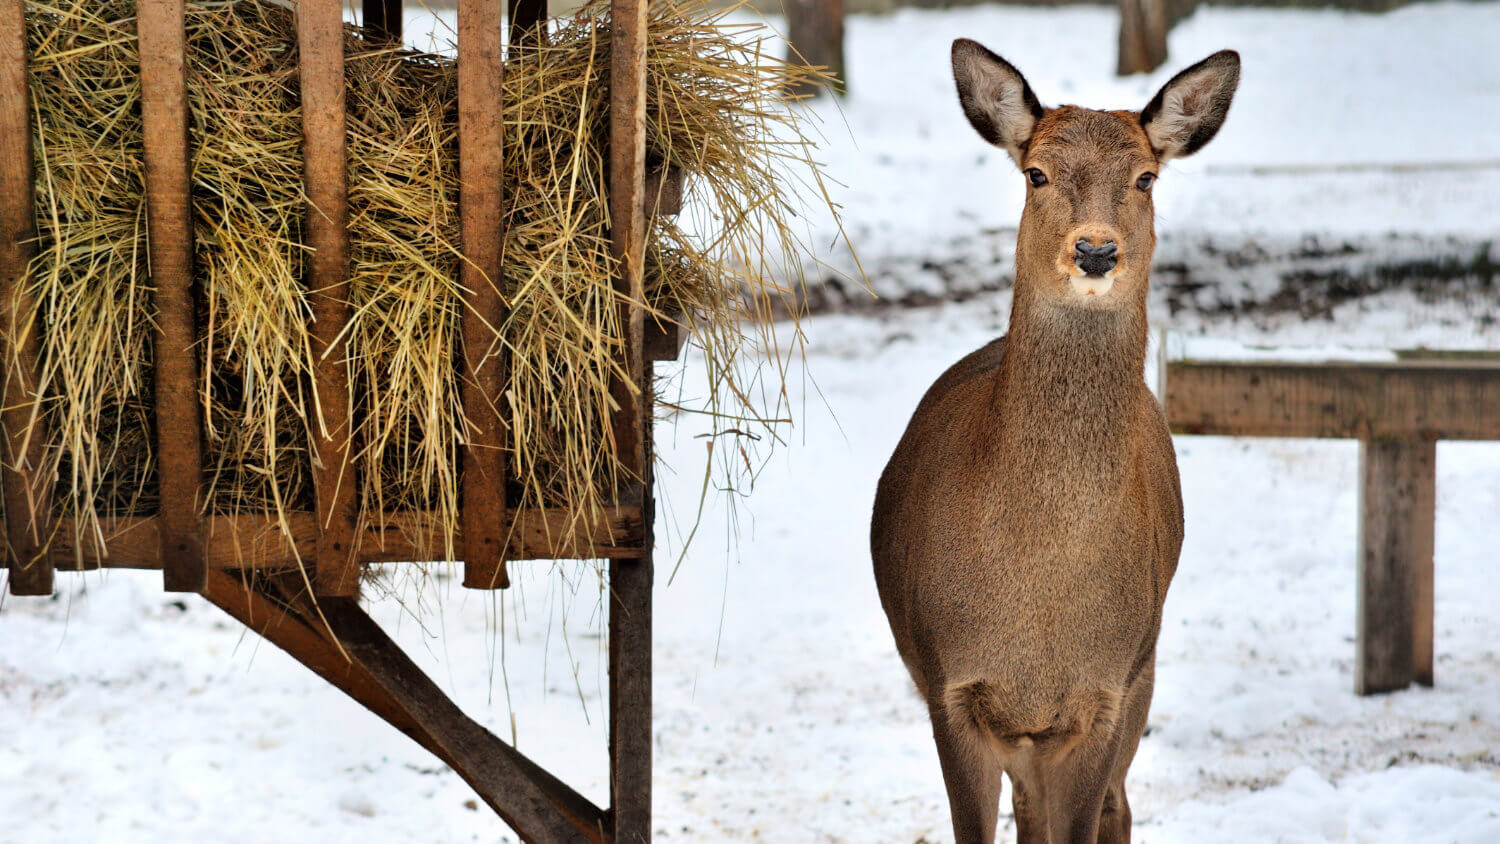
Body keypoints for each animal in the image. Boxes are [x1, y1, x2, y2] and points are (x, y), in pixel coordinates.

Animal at [870, 41, 1242, 844]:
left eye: (1146, 176)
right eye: (1035, 173)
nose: (1096, 251)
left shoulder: (1106, 689)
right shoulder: (951, 685)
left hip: (1145, 669)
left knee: (1116, 805)